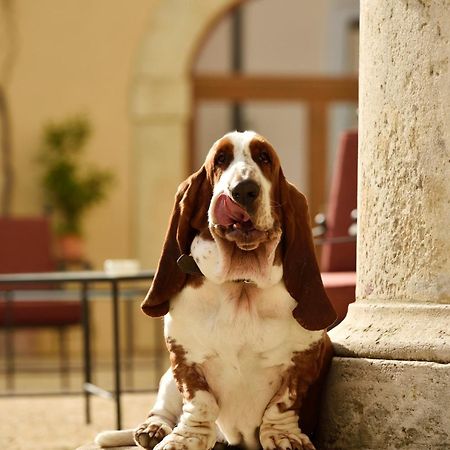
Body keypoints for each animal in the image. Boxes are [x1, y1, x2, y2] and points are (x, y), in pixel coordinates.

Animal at [95, 131, 336, 450]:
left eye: (264, 158)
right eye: (220, 160)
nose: (243, 190)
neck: (241, 284)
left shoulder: (303, 359)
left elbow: (282, 404)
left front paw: (286, 437)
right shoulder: (183, 358)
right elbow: (200, 403)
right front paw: (184, 439)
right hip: (166, 380)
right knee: (162, 409)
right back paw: (153, 428)